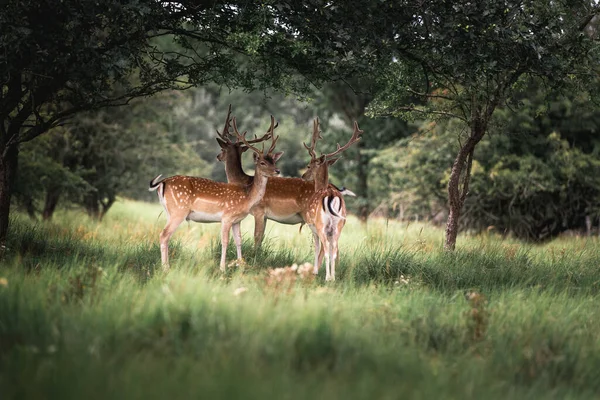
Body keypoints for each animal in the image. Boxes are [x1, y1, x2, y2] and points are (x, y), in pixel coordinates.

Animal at [149, 115, 282, 272]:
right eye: (262, 162)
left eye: (273, 161)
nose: (277, 171)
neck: (247, 197)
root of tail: (162, 182)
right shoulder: (226, 217)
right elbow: (225, 241)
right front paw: (222, 268)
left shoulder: (237, 220)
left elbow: (239, 240)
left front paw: (240, 265)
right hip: (179, 211)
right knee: (164, 235)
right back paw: (165, 268)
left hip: (169, 211)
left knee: (165, 234)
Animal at [216, 104, 354, 248]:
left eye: (222, 149)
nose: (218, 156)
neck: (245, 182)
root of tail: (335, 190)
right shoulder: (265, 216)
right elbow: (262, 238)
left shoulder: (259, 211)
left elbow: (257, 238)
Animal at [302, 118, 364, 282]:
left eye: (309, 165)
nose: (303, 176)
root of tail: (331, 195)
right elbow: (331, 251)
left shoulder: (313, 227)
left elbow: (318, 248)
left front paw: (315, 271)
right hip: (339, 226)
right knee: (335, 250)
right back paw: (333, 277)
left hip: (322, 225)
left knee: (327, 250)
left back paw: (327, 277)